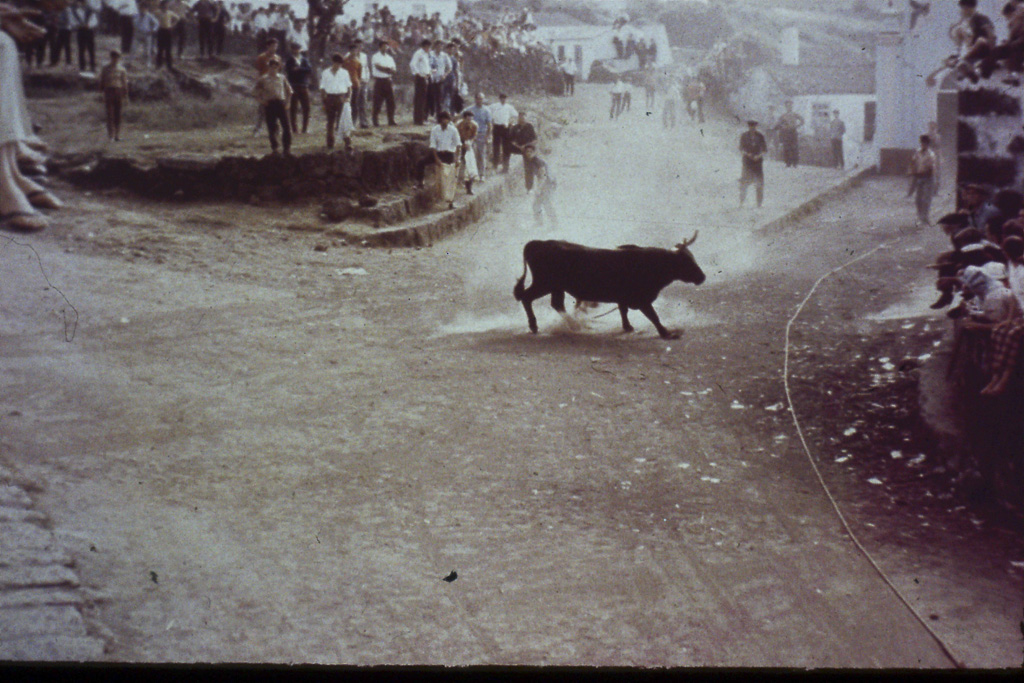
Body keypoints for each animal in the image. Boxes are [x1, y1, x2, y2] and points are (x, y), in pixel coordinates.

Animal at [512, 236, 704, 339]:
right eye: (686, 261)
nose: (702, 277)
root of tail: (540, 243)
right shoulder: (642, 299)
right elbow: (653, 316)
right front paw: (665, 332)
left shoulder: (624, 298)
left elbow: (623, 311)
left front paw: (628, 327)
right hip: (544, 283)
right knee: (527, 298)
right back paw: (535, 326)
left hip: (556, 287)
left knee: (557, 304)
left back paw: (573, 324)